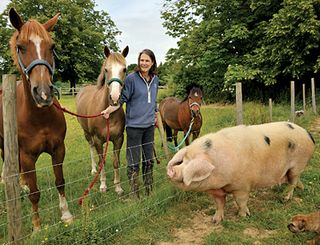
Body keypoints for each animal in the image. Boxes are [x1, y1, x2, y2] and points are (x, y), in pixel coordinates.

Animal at [0, 8, 73, 231]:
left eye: (52, 46)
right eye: (21, 47)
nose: (43, 93)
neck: (40, 119)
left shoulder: (58, 149)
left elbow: (60, 181)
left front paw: (66, 214)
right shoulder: (27, 156)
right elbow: (34, 193)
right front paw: (37, 226)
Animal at [75, 46, 128, 195]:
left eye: (124, 69)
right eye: (106, 69)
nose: (115, 97)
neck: (107, 114)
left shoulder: (118, 139)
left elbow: (116, 162)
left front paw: (118, 187)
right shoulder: (98, 140)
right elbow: (101, 162)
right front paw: (103, 185)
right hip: (87, 133)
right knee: (91, 147)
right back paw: (93, 170)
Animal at [168, 121, 316, 225]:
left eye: (189, 162)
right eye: (183, 161)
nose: (171, 170)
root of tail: (308, 134)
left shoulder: (242, 186)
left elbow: (241, 201)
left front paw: (243, 216)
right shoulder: (216, 191)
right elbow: (219, 204)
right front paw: (215, 221)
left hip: (297, 165)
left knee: (292, 182)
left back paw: (285, 198)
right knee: (295, 181)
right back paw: (298, 188)